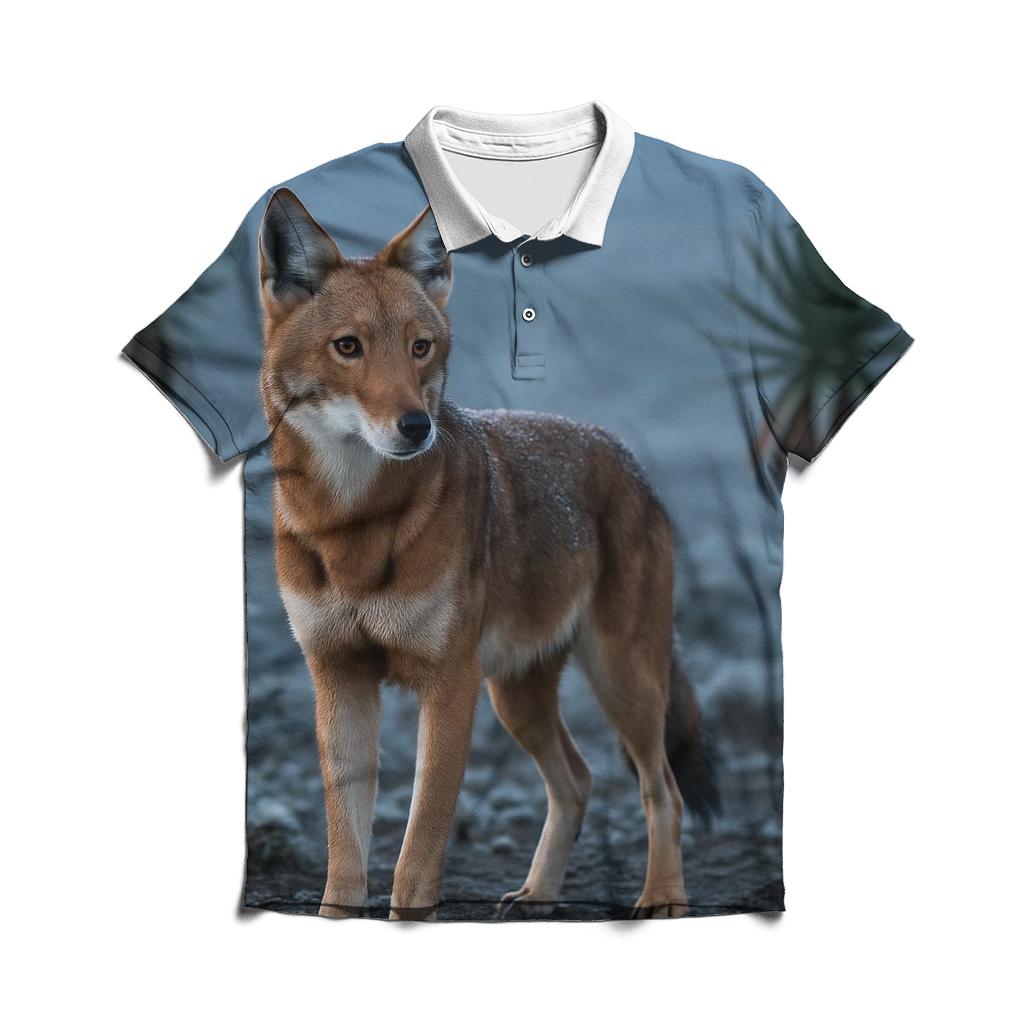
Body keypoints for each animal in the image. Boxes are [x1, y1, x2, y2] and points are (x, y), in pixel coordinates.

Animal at [257, 188, 718, 920]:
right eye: (348, 348)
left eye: (420, 348)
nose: (416, 426)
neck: (350, 527)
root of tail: (623, 457)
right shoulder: (338, 678)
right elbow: (345, 852)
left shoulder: (449, 683)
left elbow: (417, 850)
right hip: (516, 696)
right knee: (578, 780)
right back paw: (537, 894)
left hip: (620, 680)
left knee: (660, 789)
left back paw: (662, 899)